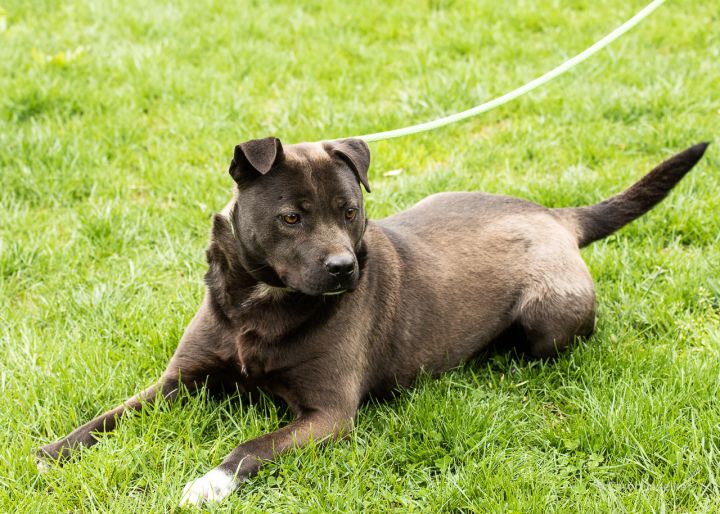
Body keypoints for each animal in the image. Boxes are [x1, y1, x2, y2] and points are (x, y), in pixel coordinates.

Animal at [36, 137, 704, 504]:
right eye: (291, 217)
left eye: (351, 210)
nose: (343, 268)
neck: (260, 304)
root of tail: (558, 217)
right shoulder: (178, 381)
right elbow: (110, 415)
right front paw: (51, 451)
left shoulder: (329, 415)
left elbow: (249, 448)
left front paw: (208, 484)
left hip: (549, 316)